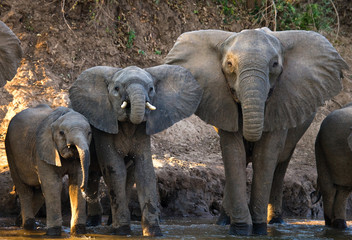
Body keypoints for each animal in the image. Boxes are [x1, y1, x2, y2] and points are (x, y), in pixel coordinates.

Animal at [5, 105, 91, 236]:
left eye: (89, 133)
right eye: (61, 133)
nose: (84, 189)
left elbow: (75, 183)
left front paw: (78, 232)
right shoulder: (43, 149)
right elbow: (52, 185)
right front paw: (53, 233)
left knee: (39, 192)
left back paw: (19, 222)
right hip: (10, 149)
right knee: (24, 190)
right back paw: (27, 226)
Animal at [68, 64, 202, 236]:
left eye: (151, 89)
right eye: (117, 89)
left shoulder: (142, 131)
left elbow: (145, 170)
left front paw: (153, 233)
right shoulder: (104, 123)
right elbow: (115, 170)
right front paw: (122, 231)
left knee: (126, 176)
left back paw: (109, 222)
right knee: (93, 175)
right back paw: (94, 222)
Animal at [166, 27, 350, 235]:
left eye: (275, 64)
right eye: (229, 64)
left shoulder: (282, 102)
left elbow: (265, 155)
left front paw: (258, 230)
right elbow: (234, 152)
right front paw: (240, 230)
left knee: (280, 164)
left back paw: (275, 222)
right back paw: (222, 222)